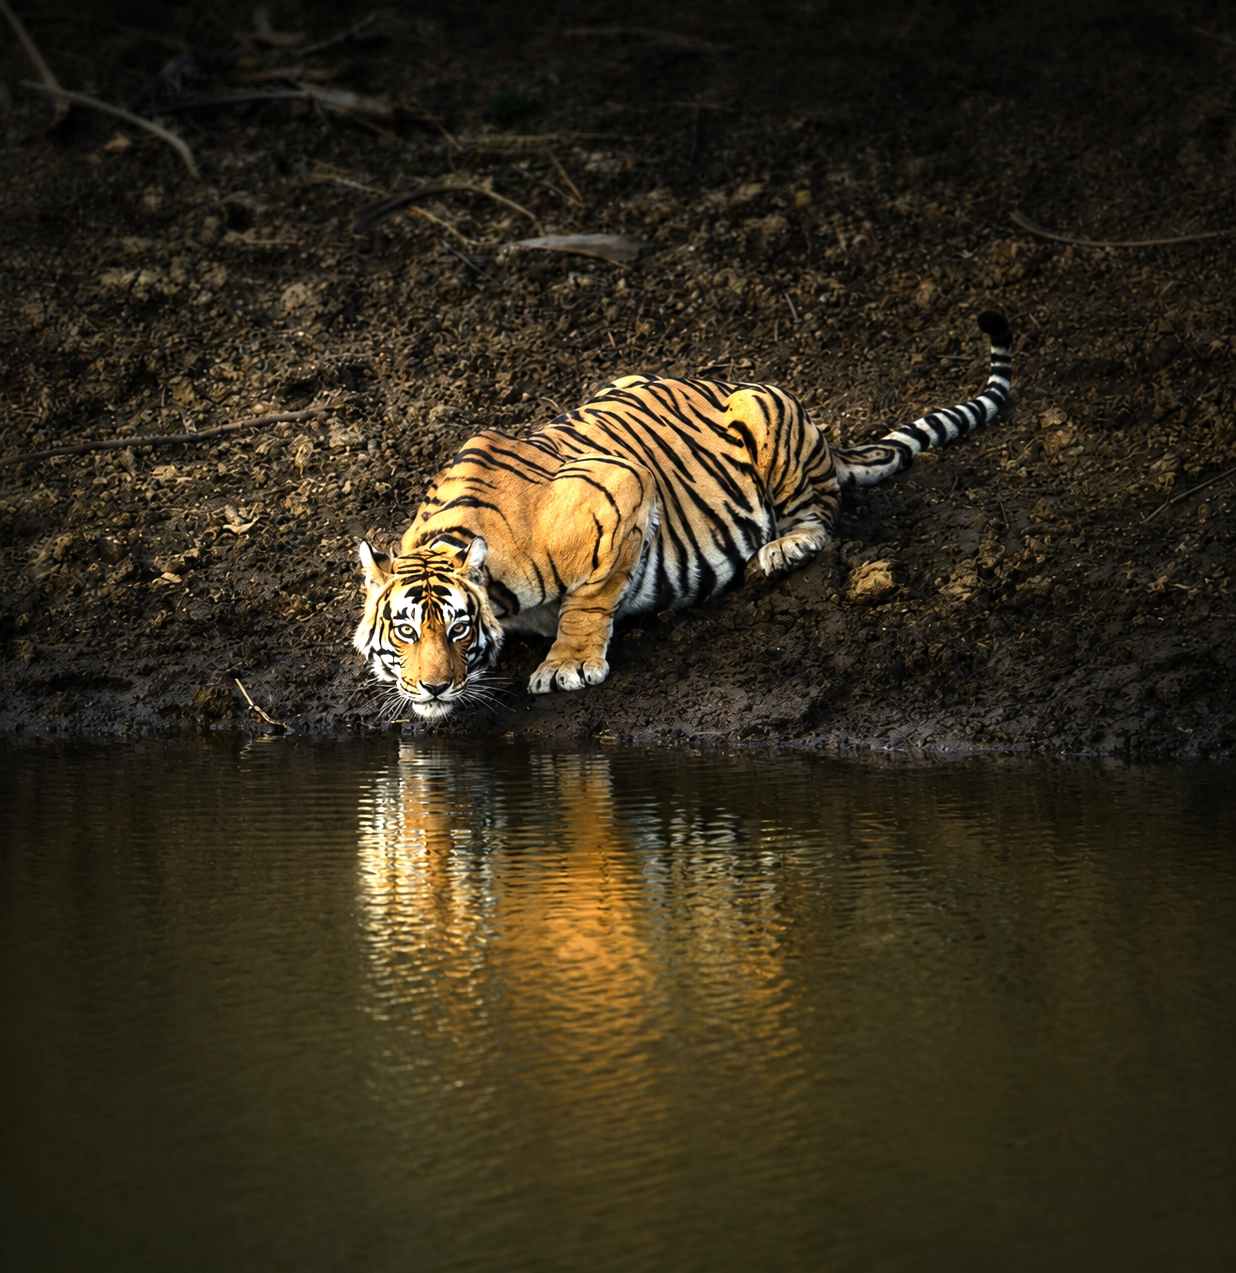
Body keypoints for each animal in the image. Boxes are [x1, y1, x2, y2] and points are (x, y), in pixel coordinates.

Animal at [354, 311, 1012, 721]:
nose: (435, 685)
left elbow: (591, 597)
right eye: (406, 631)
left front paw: (568, 664)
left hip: (769, 416)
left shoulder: (622, 487)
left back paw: (785, 549)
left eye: (459, 629)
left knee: (821, 516)